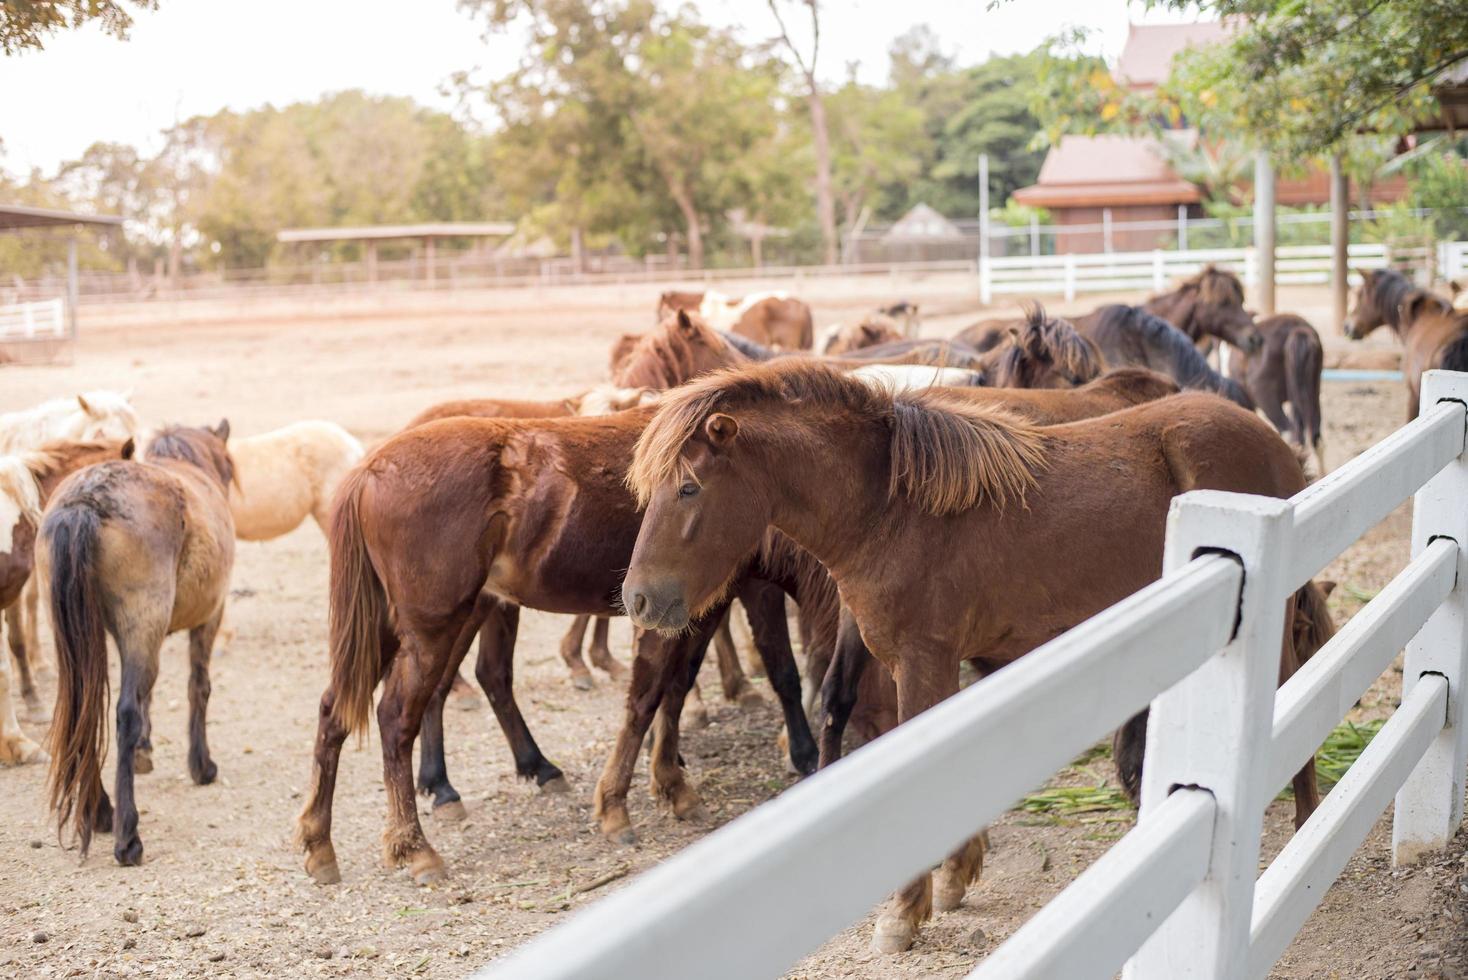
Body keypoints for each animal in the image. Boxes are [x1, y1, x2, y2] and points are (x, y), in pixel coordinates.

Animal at [42, 425, 233, 868]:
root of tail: (86, 500)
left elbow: (150, 693)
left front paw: (146, 751)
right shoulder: (208, 618)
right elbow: (197, 687)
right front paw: (201, 765)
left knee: (82, 709)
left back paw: (100, 810)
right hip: (143, 623)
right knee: (122, 712)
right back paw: (127, 835)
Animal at [625, 357, 1338, 950]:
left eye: (688, 488)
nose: (637, 598)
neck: (892, 510)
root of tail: (1274, 442)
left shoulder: (924, 660)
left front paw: (904, 913)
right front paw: (954, 877)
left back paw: (1308, 826)